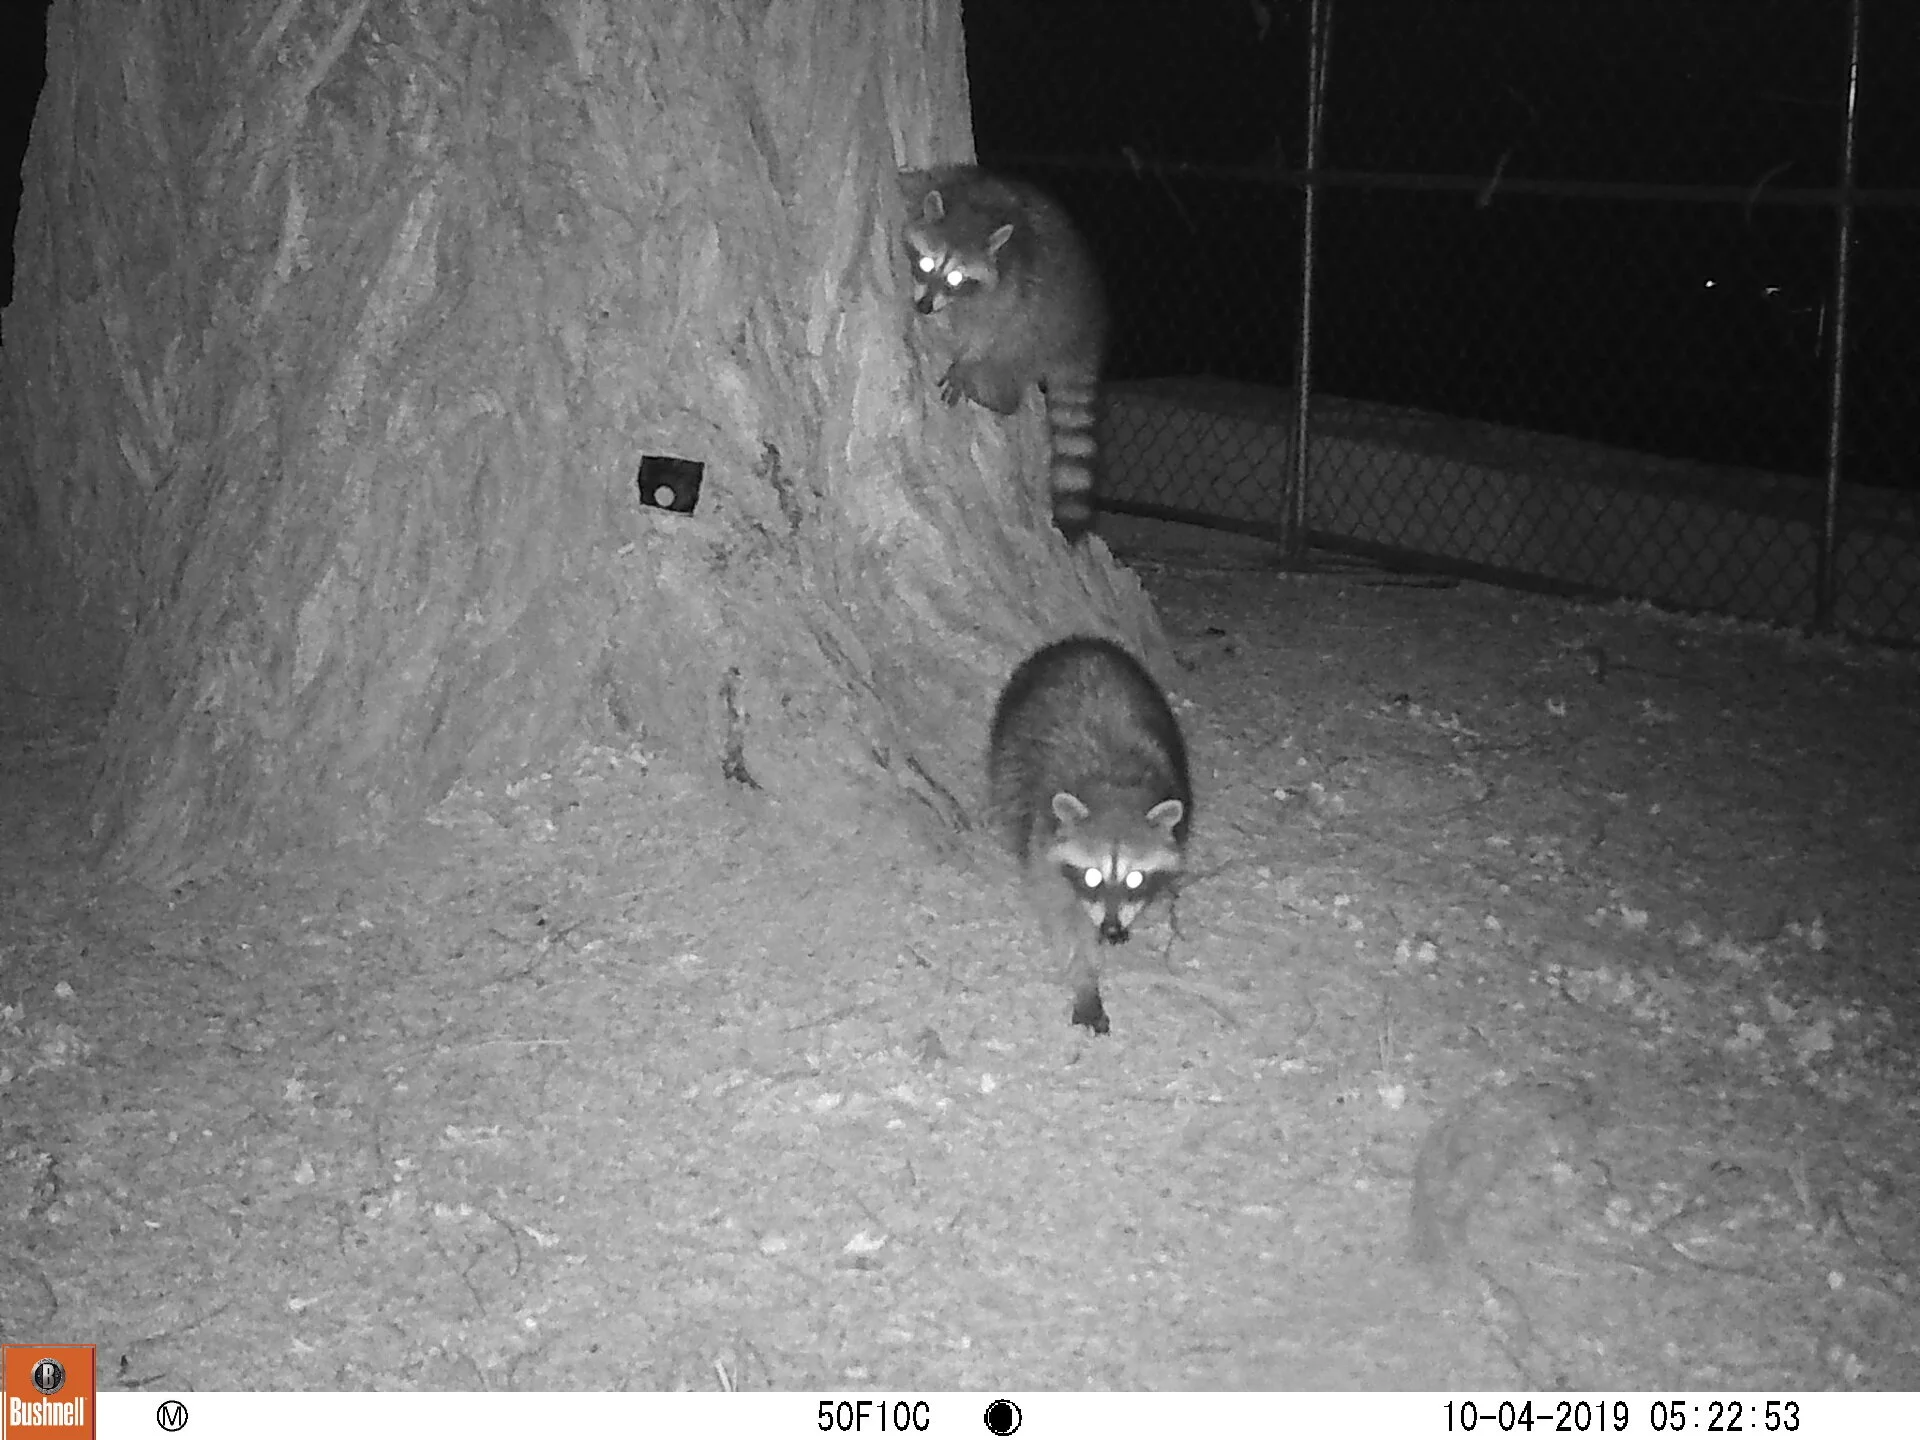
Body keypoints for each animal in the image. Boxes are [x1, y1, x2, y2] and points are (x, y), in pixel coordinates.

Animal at [903, 166, 1108, 541]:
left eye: (956, 278)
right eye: (925, 263)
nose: (924, 307)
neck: (976, 209)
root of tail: (1086, 341)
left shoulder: (1010, 291)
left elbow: (990, 332)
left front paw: (966, 361)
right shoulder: (950, 179)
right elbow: (918, 181)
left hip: (1037, 337)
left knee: (1007, 358)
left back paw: (995, 396)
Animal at [986, 635, 1192, 1033]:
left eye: (1135, 878)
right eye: (1093, 875)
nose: (1110, 930)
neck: (1114, 786)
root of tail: (1079, 643)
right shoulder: (1044, 835)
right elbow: (1061, 917)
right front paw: (1084, 977)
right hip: (1008, 735)